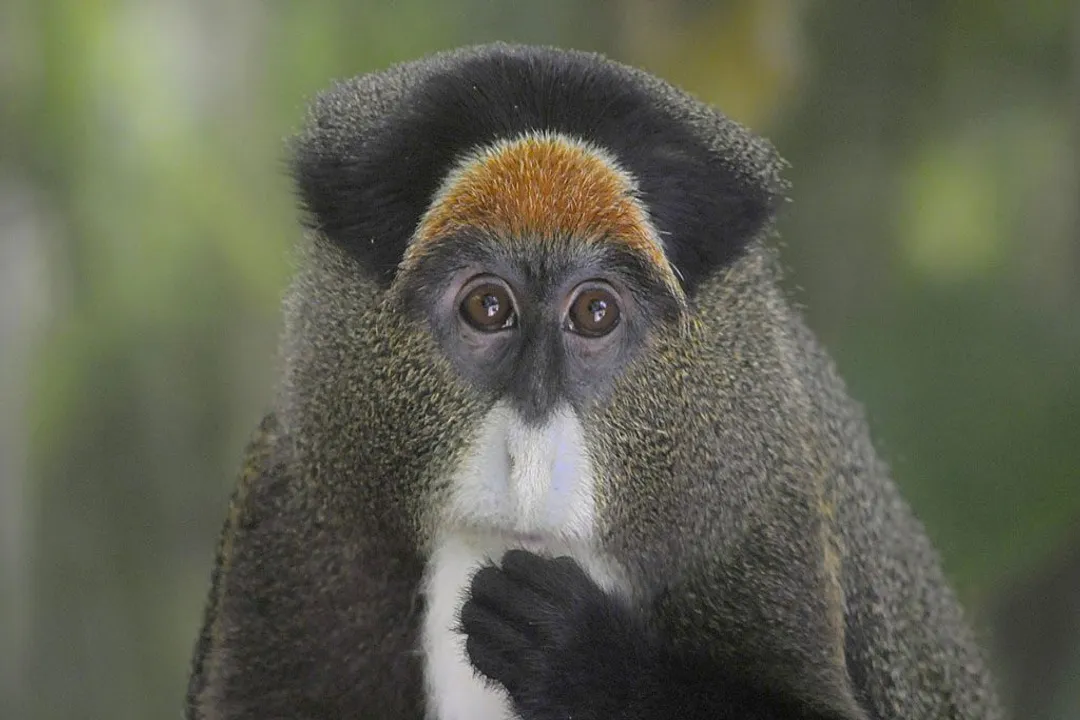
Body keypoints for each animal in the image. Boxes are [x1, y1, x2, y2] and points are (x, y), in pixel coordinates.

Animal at [185, 43, 1005, 720]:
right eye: (488, 307)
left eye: (595, 311)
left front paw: (580, 656)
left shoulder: (762, 501)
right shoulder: (294, 506)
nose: (527, 458)